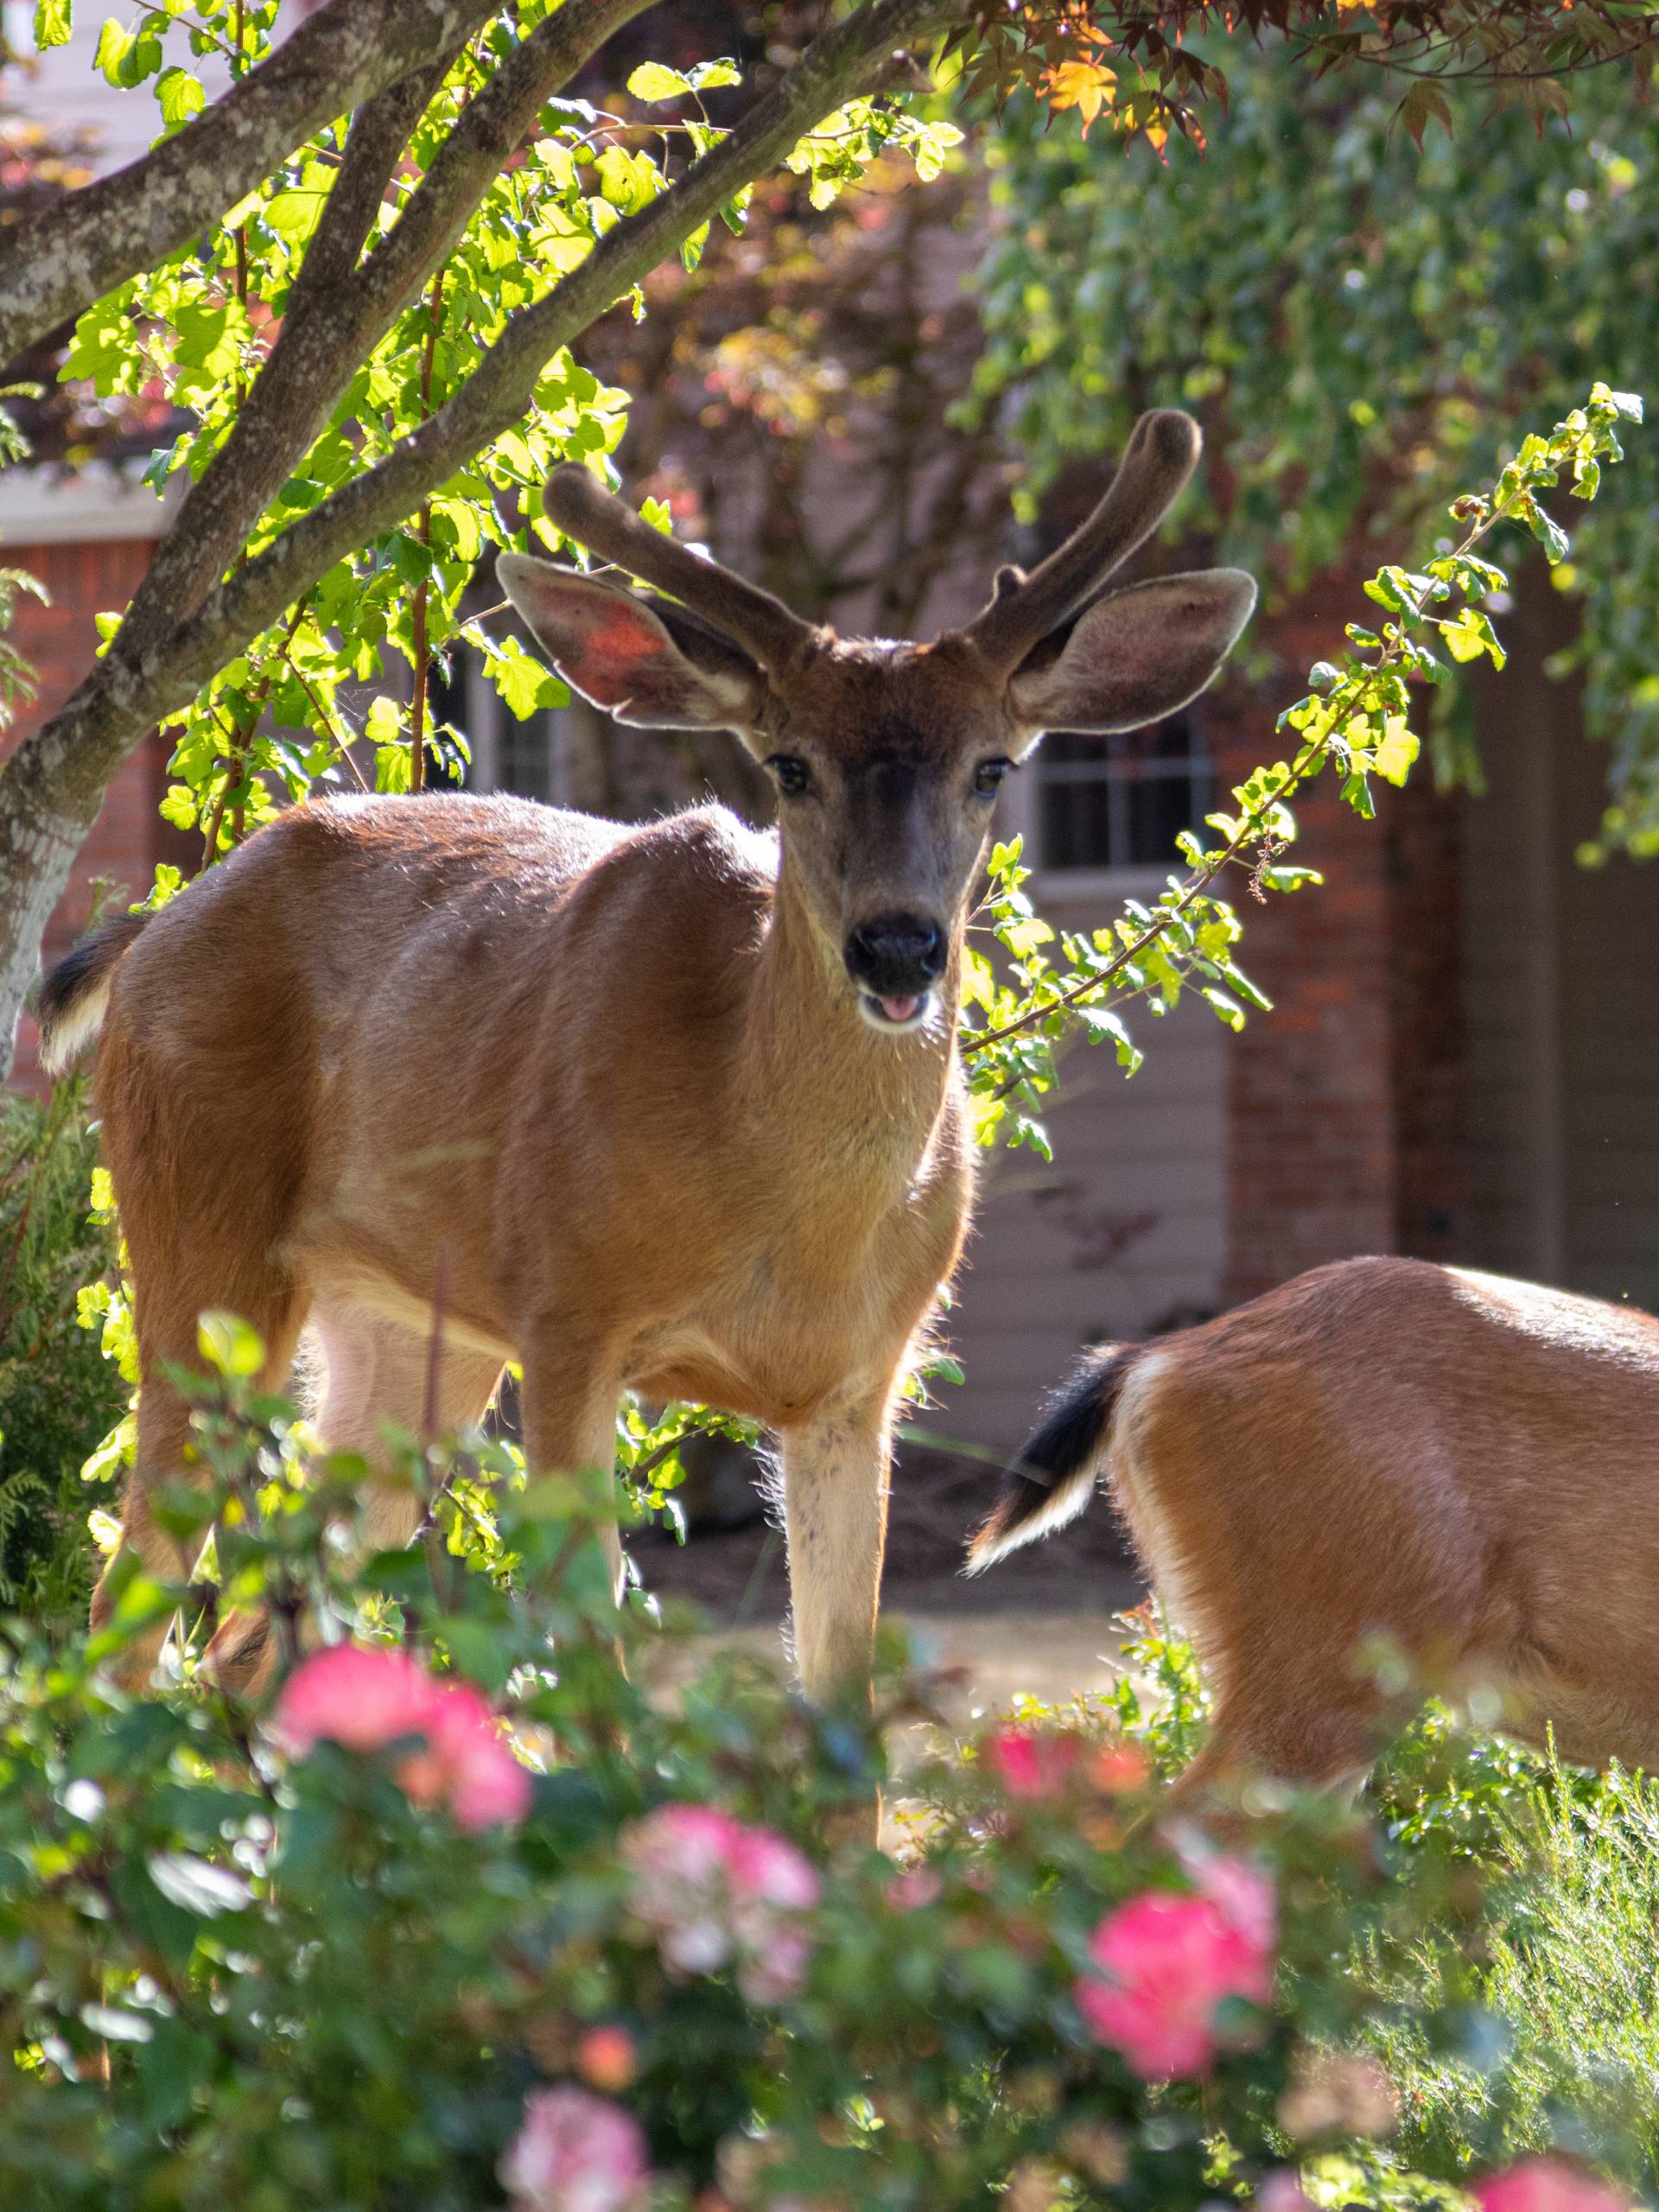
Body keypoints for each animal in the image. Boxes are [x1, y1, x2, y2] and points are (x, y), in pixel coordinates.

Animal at [35, 407, 1256, 1699]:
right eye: (790, 765)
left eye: (993, 767)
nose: (898, 946)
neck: (784, 1218)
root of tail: (156, 924)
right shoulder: (568, 1314)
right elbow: (593, 1668)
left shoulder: (863, 1381)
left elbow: (843, 1691)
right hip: (200, 1240)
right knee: (126, 1614)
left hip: (402, 1325)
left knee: (247, 1637)